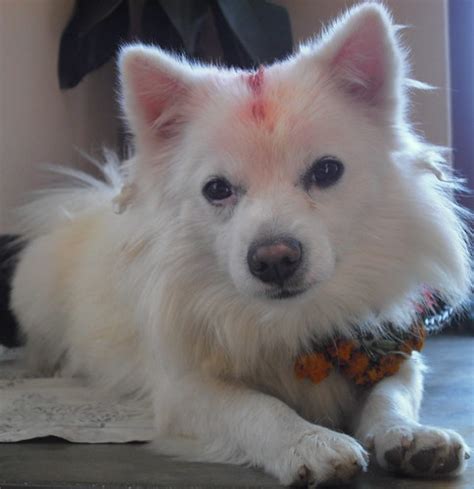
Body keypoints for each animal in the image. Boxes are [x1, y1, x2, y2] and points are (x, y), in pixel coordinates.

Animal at [10, 2, 470, 484]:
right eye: (217, 190)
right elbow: (256, 407)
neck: (292, 322)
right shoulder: (186, 390)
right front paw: (310, 441)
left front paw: (410, 435)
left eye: (326, 171)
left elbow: (391, 394)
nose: (274, 259)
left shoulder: (393, 350)